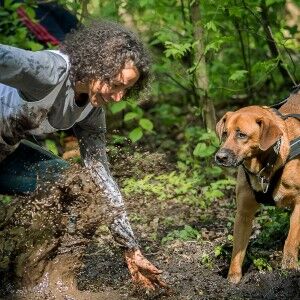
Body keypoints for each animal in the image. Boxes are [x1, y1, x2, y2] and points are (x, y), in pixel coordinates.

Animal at [214, 91, 300, 284]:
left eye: (242, 135)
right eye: (225, 133)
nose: (220, 157)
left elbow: (291, 242)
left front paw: (289, 270)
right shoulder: (244, 212)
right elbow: (238, 250)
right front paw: (232, 279)